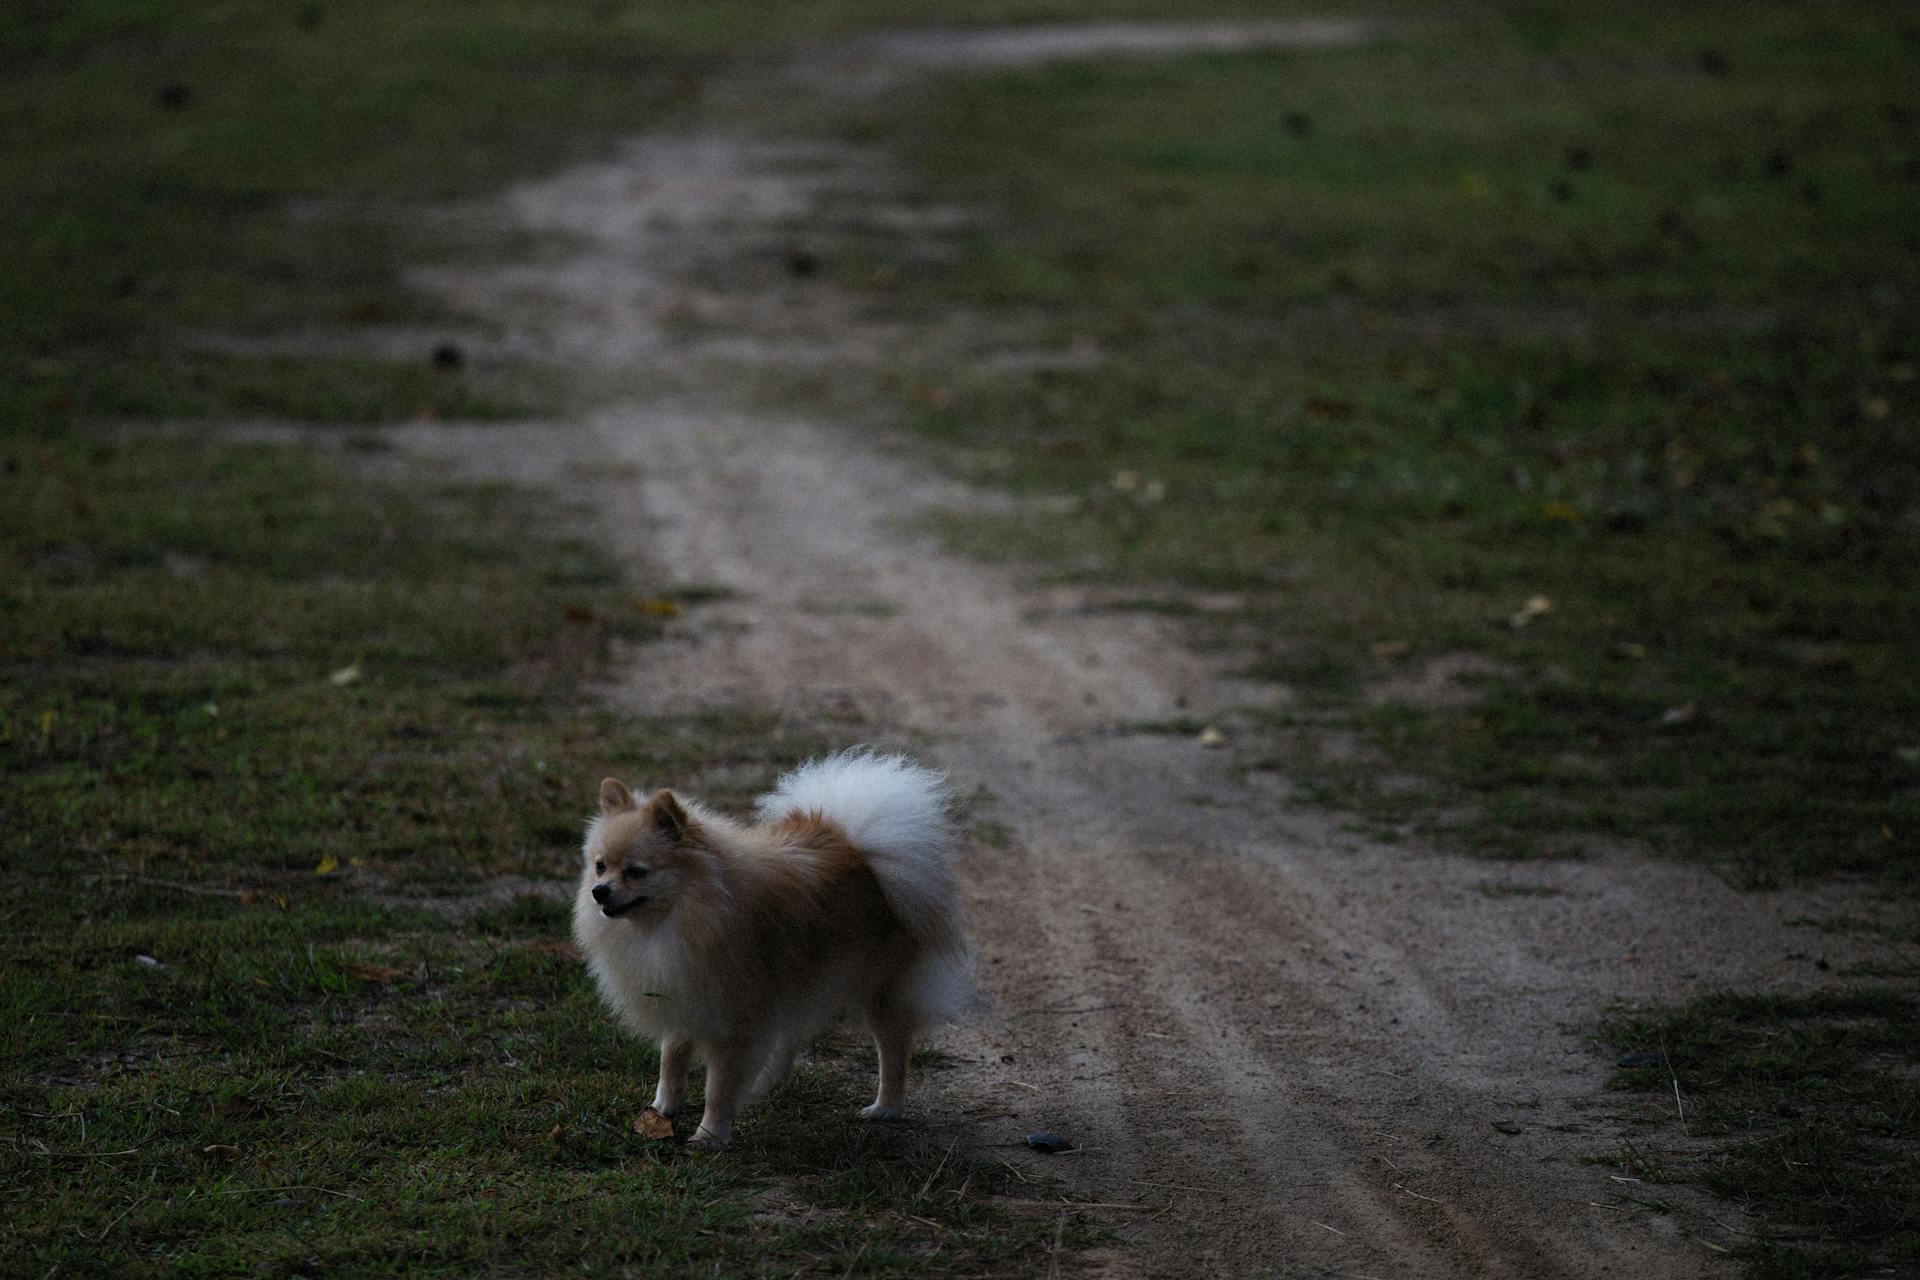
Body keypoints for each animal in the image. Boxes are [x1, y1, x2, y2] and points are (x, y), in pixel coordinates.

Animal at [564, 752, 960, 1151]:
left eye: (636, 872)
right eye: (600, 866)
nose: (599, 891)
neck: (682, 913)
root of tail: (860, 848)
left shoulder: (732, 1017)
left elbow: (717, 1087)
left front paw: (710, 1136)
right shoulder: (685, 990)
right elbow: (671, 1059)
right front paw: (662, 1109)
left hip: (881, 992)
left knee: (893, 1050)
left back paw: (885, 1107)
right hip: (793, 985)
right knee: (790, 1038)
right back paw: (763, 1082)